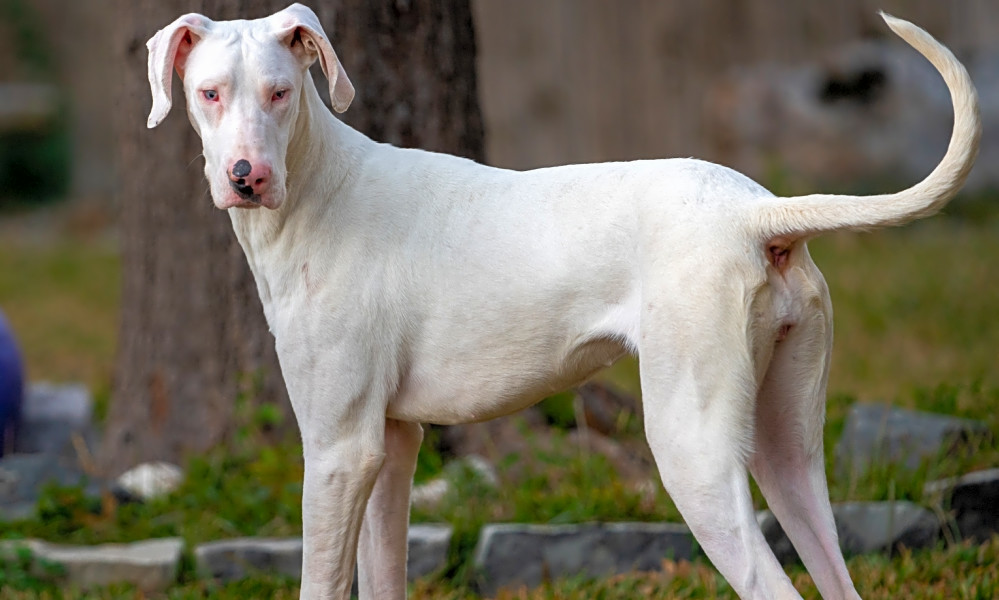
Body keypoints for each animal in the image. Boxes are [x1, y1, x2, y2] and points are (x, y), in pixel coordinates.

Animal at [145, 5, 980, 600]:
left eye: (280, 93)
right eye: (209, 94)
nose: (247, 176)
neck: (319, 190)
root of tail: (755, 212)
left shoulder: (337, 451)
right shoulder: (391, 446)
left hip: (692, 452)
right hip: (787, 455)